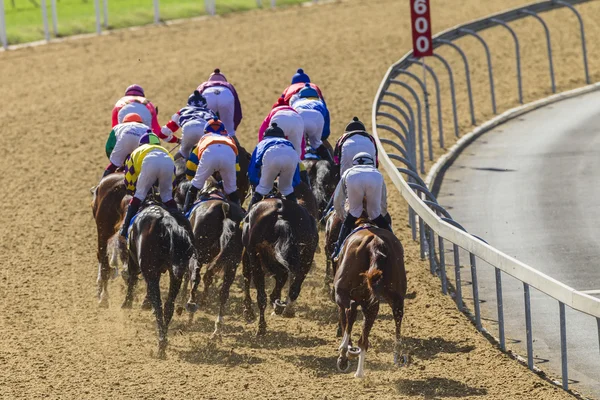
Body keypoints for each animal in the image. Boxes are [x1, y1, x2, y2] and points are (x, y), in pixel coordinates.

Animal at [120, 203, 196, 360]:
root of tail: (166, 221)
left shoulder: (137, 263)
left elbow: (133, 280)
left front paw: (128, 303)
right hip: (176, 275)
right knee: (168, 306)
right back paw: (164, 339)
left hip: (149, 270)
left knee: (159, 304)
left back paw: (161, 344)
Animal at [185, 183, 246, 336]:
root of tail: (224, 210)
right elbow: (209, 276)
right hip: (232, 262)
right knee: (224, 291)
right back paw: (217, 327)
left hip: (197, 254)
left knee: (195, 278)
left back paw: (190, 310)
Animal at [243, 198, 322, 336]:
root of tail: (280, 215)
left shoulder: (249, 255)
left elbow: (247, 278)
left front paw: (249, 312)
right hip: (307, 257)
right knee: (294, 288)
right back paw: (286, 309)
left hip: (254, 256)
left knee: (261, 295)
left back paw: (261, 327)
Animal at [332, 225, 408, 378]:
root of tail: (375, 243)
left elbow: (344, 319)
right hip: (392, 298)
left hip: (342, 292)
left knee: (350, 311)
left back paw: (344, 352)